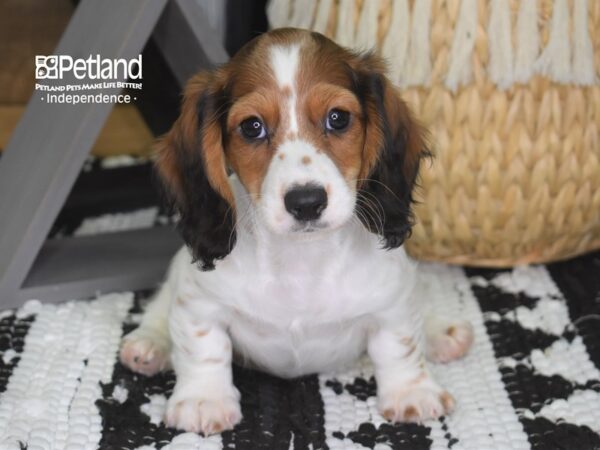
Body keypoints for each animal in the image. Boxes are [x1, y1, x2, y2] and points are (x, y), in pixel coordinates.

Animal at [119, 28, 472, 436]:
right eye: (251, 126)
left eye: (338, 118)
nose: (306, 202)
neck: (302, 261)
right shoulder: (200, 303)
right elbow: (203, 348)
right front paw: (203, 400)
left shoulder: (392, 304)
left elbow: (400, 346)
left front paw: (411, 392)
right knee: (162, 303)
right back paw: (149, 343)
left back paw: (441, 333)